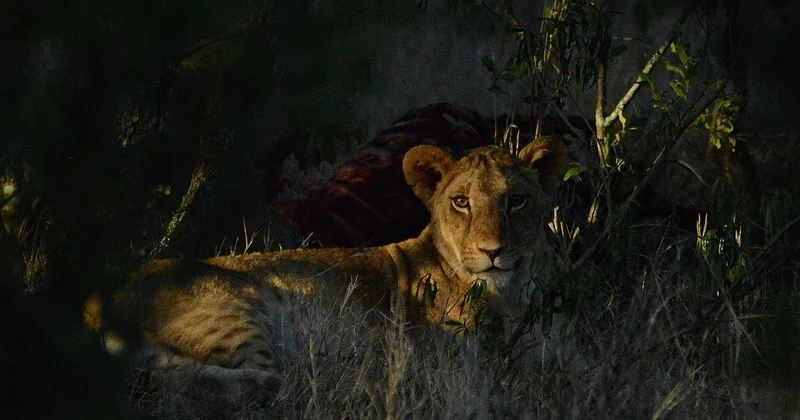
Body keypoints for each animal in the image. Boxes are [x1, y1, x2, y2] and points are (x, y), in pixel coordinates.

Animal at [88, 136, 567, 390]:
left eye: (517, 200)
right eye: (461, 202)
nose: (492, 251)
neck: (507, 297)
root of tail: (92, 299)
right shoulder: (451, 363)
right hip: (238, 309)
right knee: (252, 384)